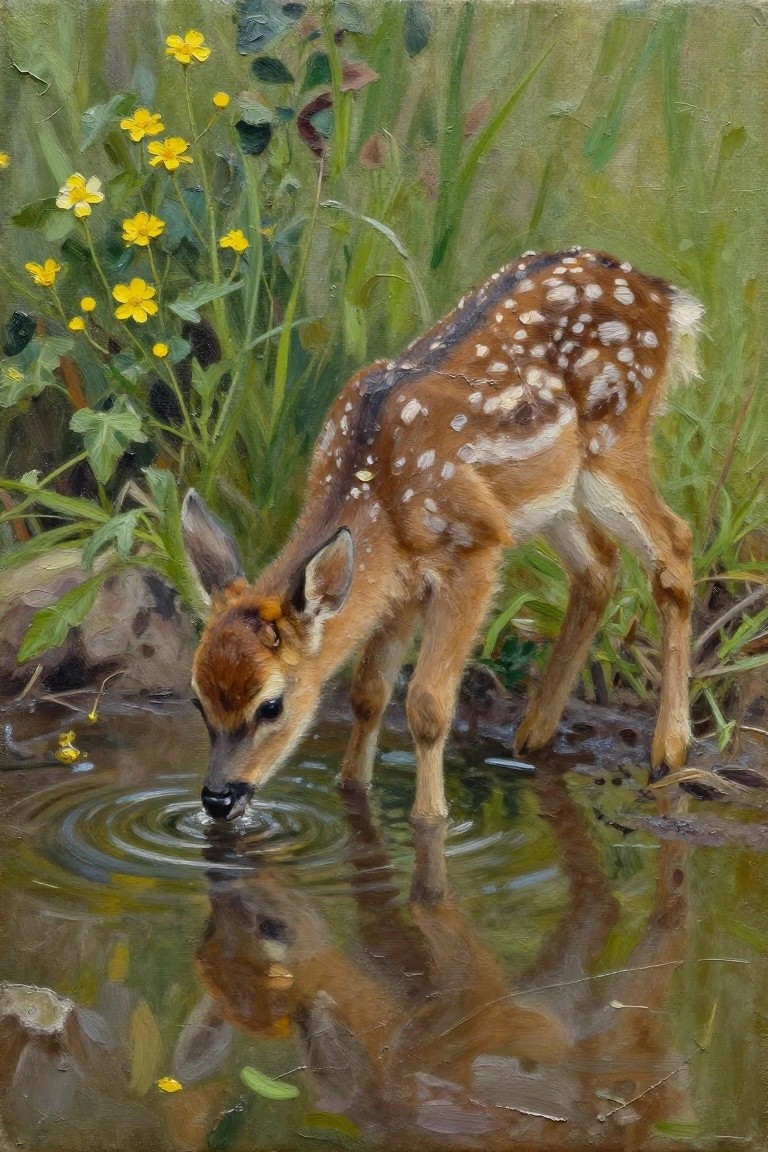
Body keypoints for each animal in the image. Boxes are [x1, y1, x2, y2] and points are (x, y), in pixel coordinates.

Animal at [181, 247, 704, 823]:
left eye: (271, 705)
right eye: (196, 699)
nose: (219, 798)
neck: (376, 489)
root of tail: (665, 296)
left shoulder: (474, 546)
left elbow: (427, 704)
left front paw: (431, 818)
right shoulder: (400, 580)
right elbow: (369, 693)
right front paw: (352, 789)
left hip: (613, 447)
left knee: (674, 544)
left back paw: (669, 750)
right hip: (549, 496)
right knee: (598, 568)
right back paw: (532, 735)